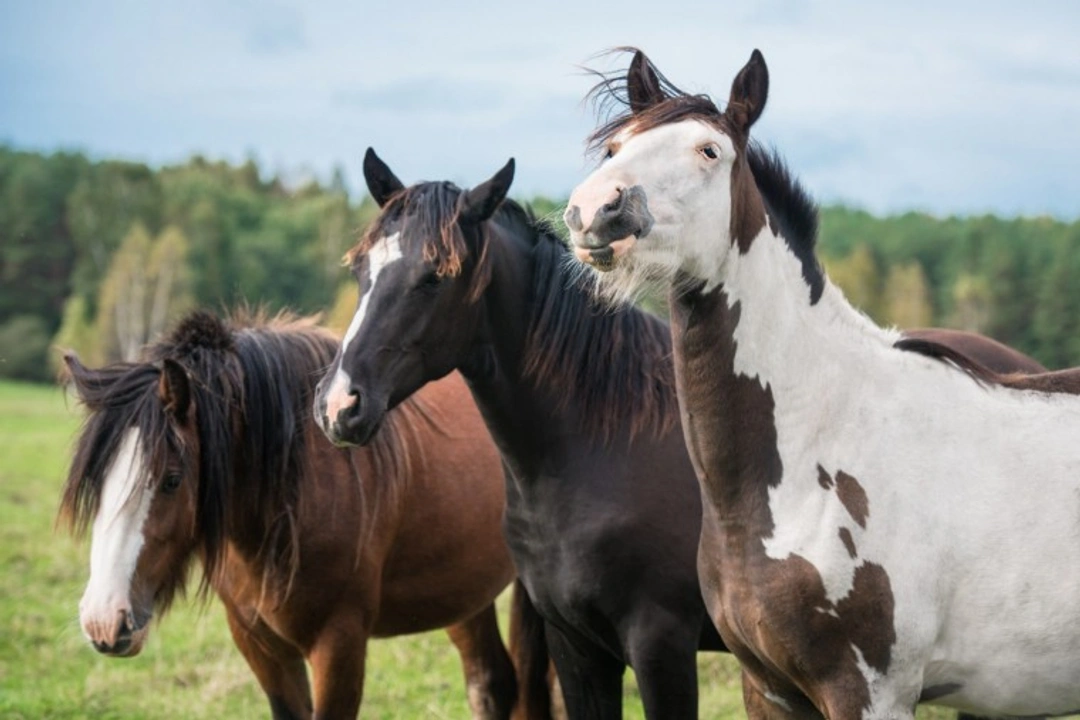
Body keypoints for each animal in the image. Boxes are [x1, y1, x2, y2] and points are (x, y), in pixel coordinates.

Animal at [60, 309, 548, 720]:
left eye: (172, 479)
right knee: (490, 684)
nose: (103, 620)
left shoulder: (339, 644)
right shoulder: (260, 645)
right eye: (97, 480)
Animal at [312, 150, 1052, 719]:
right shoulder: (578, 648)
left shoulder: (659, 645)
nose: (339, 405)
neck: (594, 450)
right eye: (359, 269)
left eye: (436, 276)